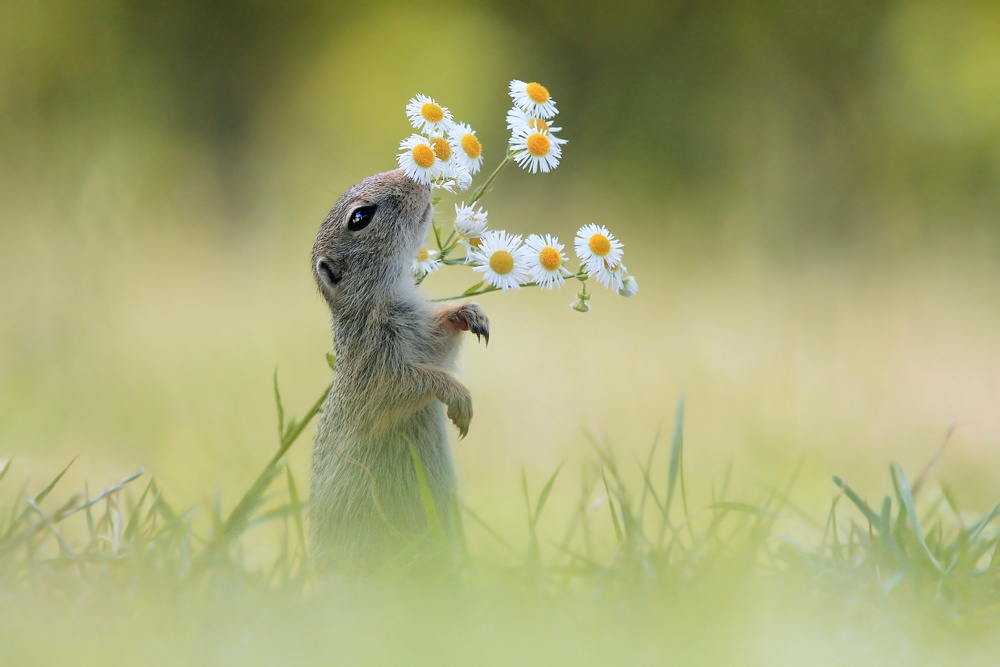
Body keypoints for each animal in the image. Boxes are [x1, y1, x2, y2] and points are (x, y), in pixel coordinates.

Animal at [308, 167, 488, 576]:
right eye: (360, 217)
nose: (415, 175)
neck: (385, 297)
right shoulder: (377, 366)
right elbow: (410, 384)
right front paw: (458, 397)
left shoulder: (426, 336)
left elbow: (442, 342)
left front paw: (469, 313)